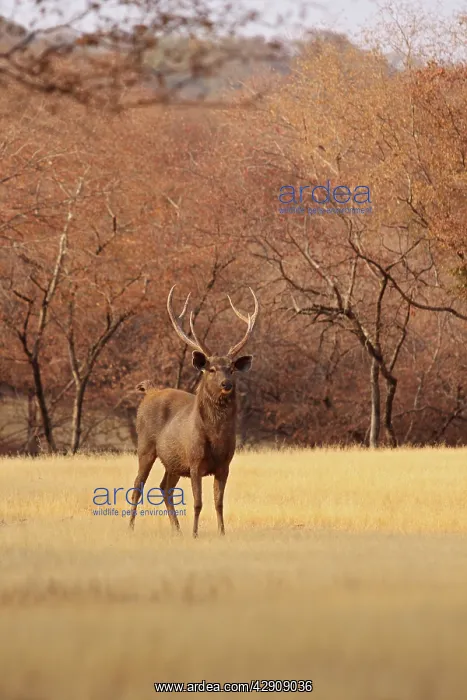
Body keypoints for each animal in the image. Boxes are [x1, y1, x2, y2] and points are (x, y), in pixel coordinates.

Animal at [129, 284, 258, 538]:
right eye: (211, 369)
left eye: (231, 369)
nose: (226, 384)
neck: (215, 437)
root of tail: (149, 391)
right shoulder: (195, 460)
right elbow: (198, 502)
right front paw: (195, 533)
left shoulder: (225, 464)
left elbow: (219, 502)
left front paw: (222, 533)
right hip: (145, 446)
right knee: (138, 486)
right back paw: (130, 527)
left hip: (173, 462)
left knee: (164, 487)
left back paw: (176, 530)